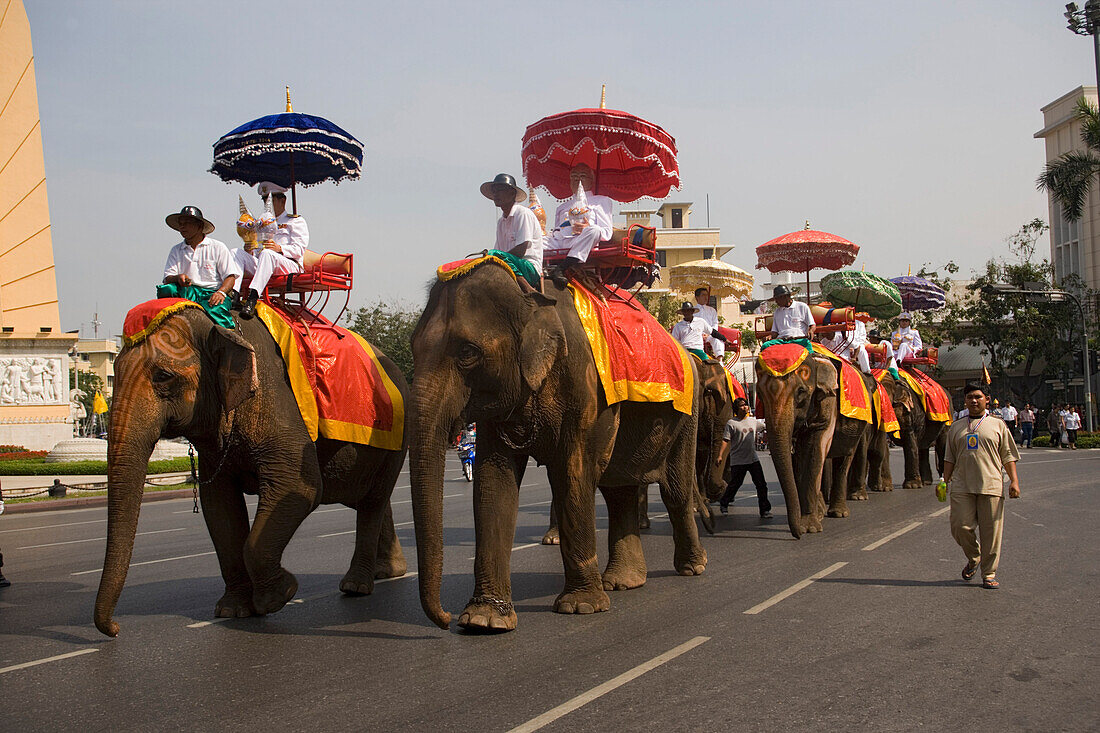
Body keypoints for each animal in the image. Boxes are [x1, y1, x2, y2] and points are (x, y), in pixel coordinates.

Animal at [93, 305, 409, 638]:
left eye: (163, 376)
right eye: (116, 371)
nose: (115, 629)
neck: (220, 327)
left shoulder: (277, 403)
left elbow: (301, 488)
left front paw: (279, 596)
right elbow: (219, 507)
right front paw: (233, 611)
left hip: (397, 439)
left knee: (372, 503)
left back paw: (355, 586)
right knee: (373, 500)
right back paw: (388, 571)